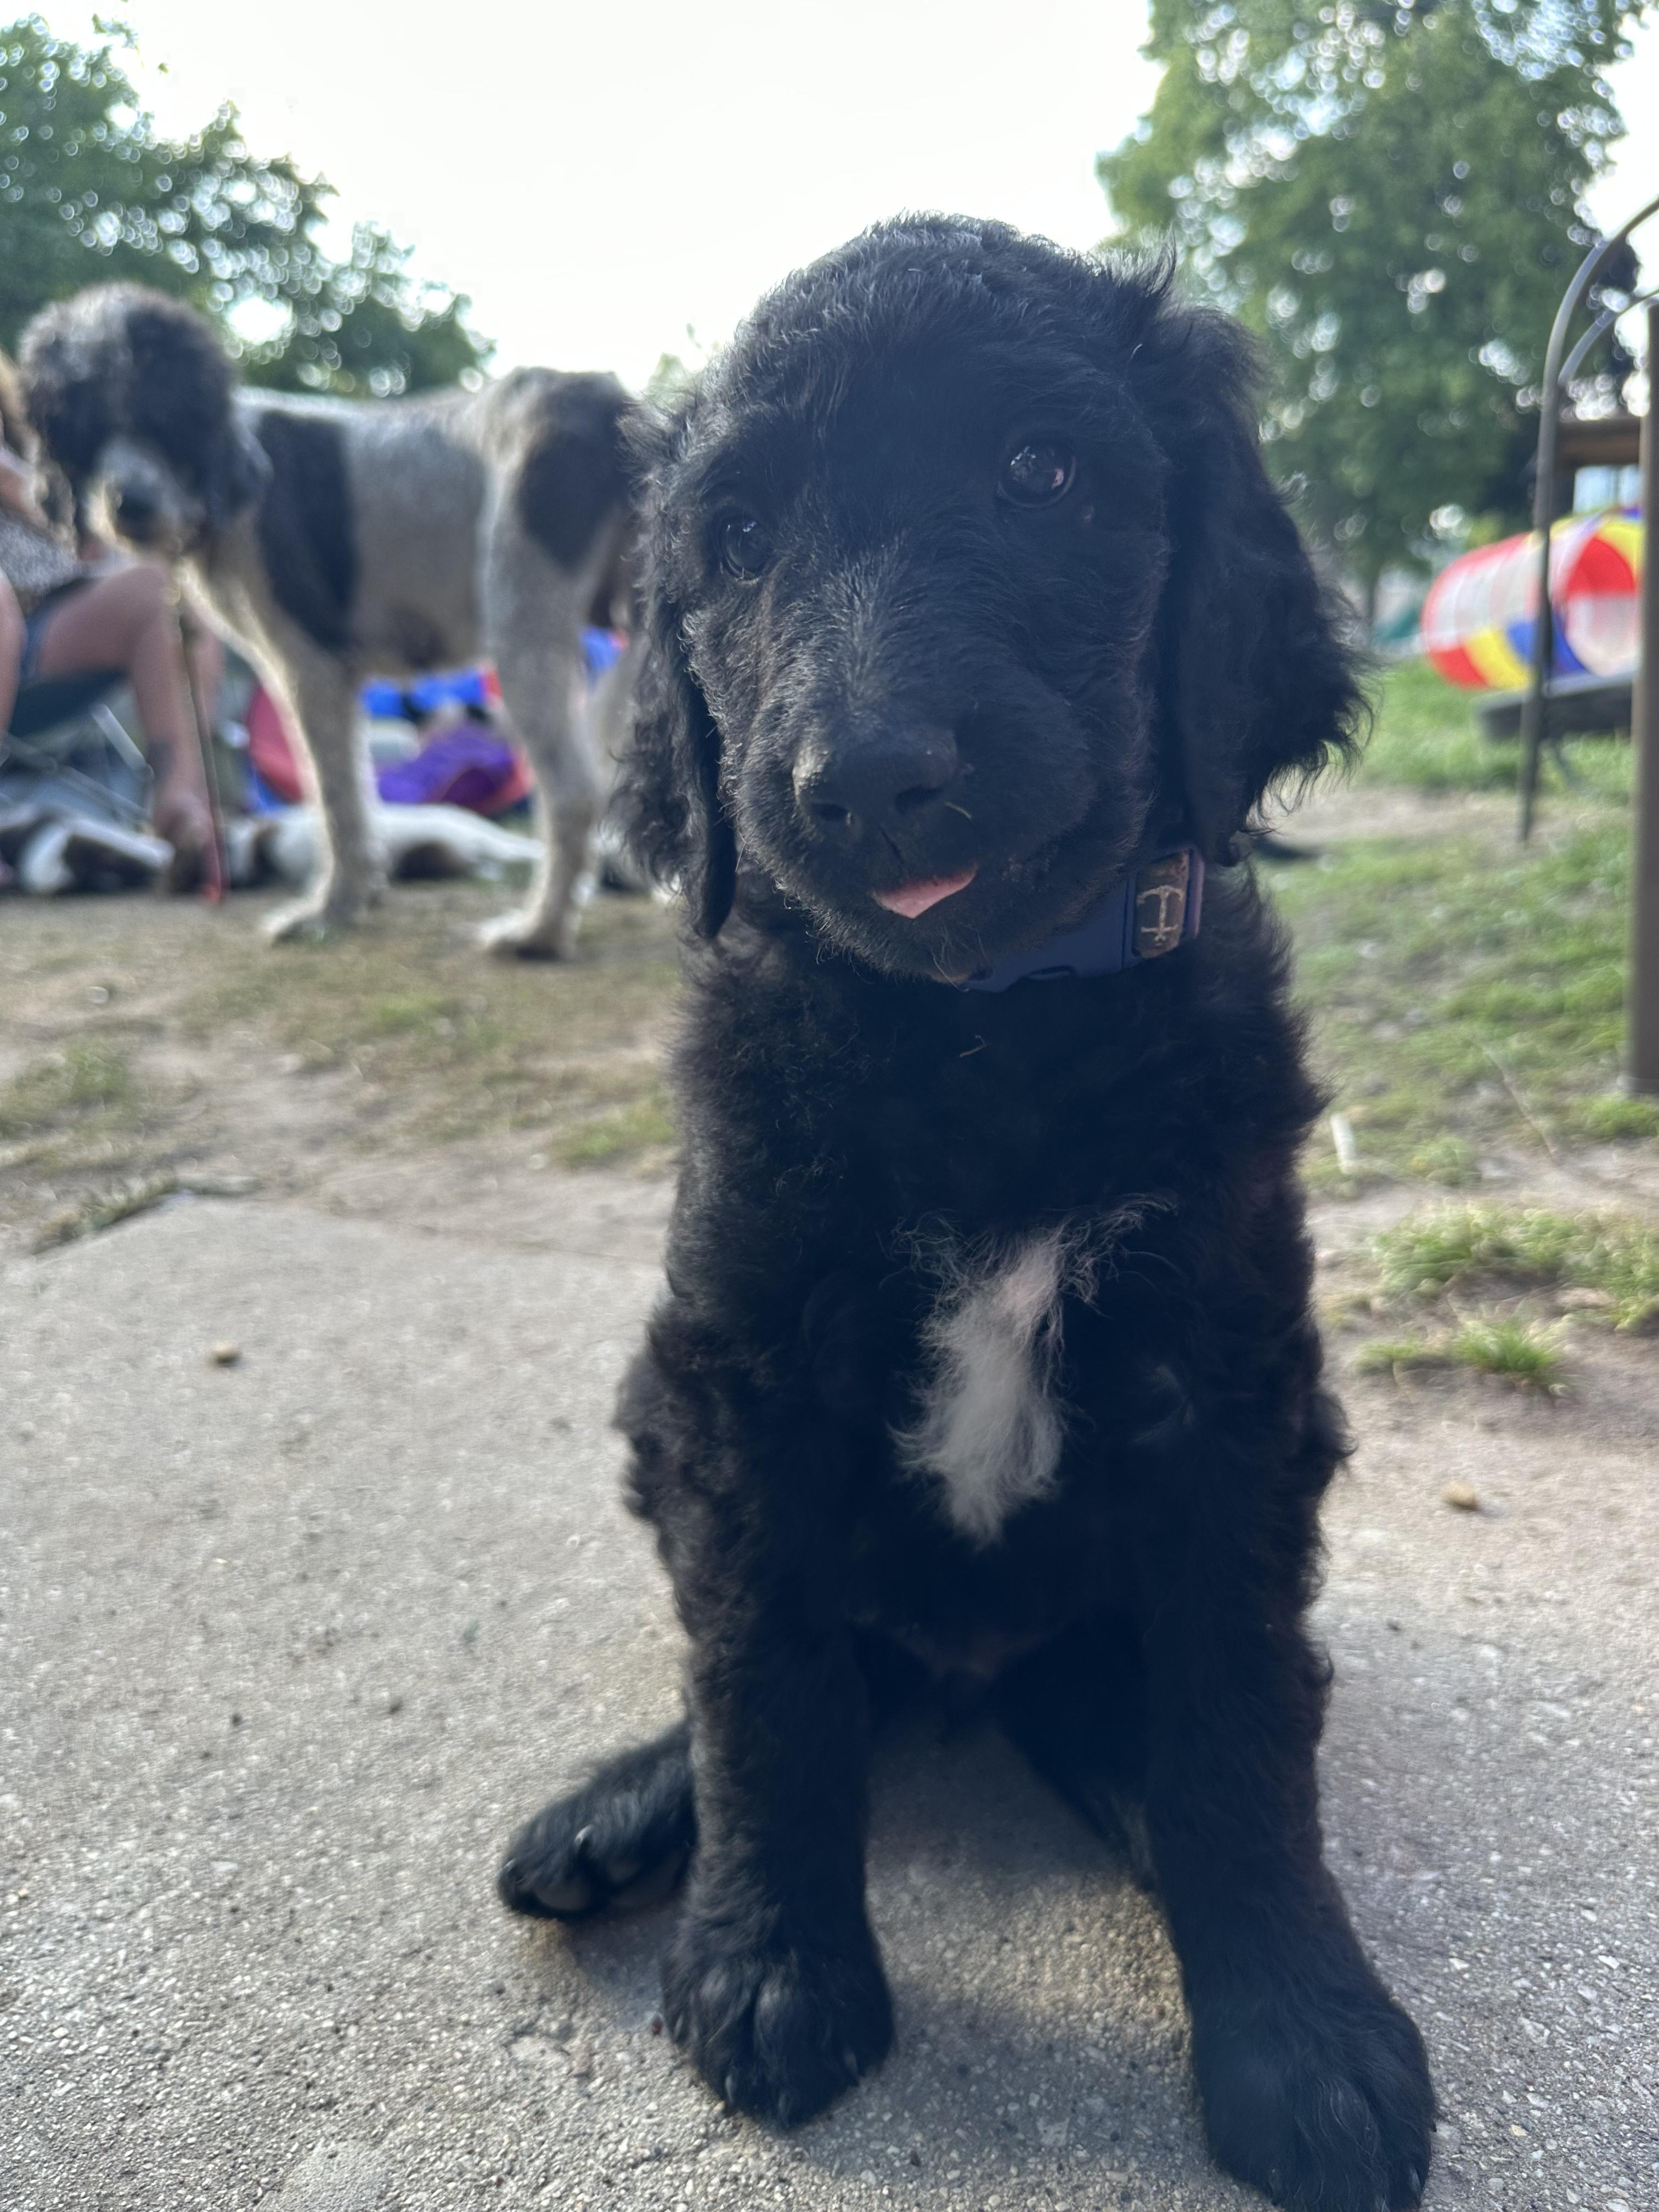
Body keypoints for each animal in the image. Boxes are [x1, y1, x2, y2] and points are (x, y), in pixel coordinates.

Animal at [18, 284, 631, 953]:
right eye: (80, 427)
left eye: (165, 415)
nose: (132, 506)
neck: (229, 481)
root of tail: (609, 406)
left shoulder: (309, 668)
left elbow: (335, 799)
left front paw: (330, 908)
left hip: (524, 624)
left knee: (573, 792)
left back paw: (539, 931)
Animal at [495, 218, 1435, 2211]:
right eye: (737, 545)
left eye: (1041, 474)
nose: (867, 779)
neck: (984, 1024)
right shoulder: (742, 1375)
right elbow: (764, 1678)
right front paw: (769, 1962)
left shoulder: (1225, 1389)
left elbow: (1241, 1718)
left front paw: (1302, 2031)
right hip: (657, 1410)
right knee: (795, 1665)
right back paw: (624, 1812)